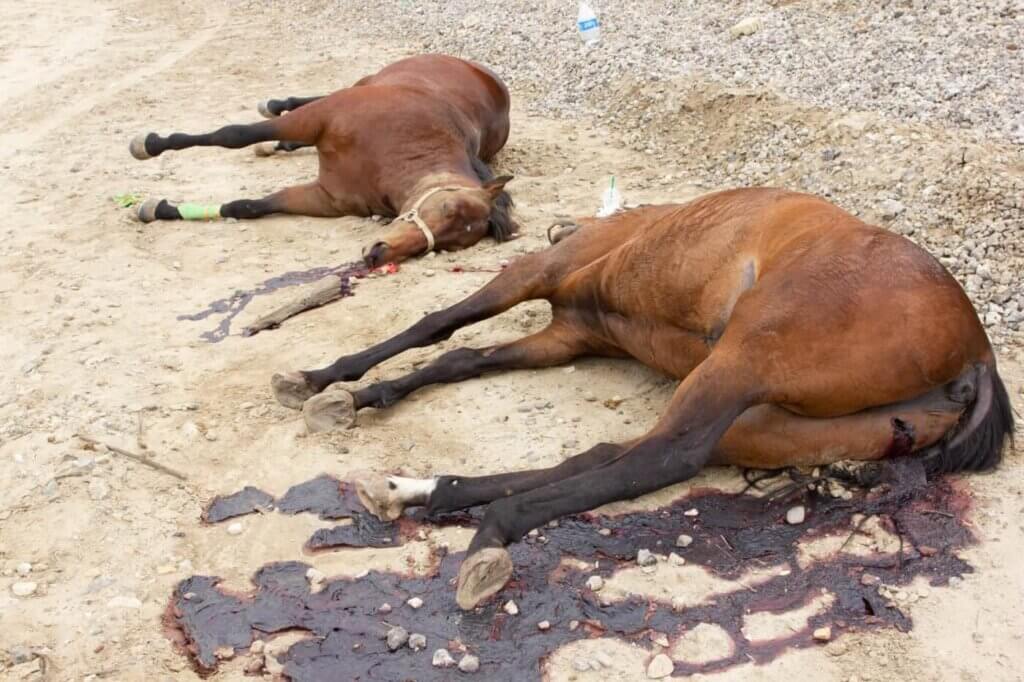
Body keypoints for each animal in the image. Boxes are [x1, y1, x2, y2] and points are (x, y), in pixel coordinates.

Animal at [124, 54, 516, 266]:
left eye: (452, 243)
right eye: (447, 208)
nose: (378, 254)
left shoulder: (324, 199)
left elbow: (247, 207)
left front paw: (159, 209)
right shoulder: (319, 117)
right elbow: (233, 135)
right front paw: (151, 144)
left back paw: (279, 144)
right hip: (362, 83)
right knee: (321, 95)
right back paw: (275, 108)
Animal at [268, 186, 1011, 606]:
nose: (374, 249)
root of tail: (975, 351)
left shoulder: (535, 276)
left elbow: (439, 325)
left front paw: (323, 379)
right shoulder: (566, 338)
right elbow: (461, 358)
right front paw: (363, 392)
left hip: (743, 361)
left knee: (662, 458)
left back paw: (493, 529)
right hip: (766, 424)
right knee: (610, 456)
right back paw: (429, 491)